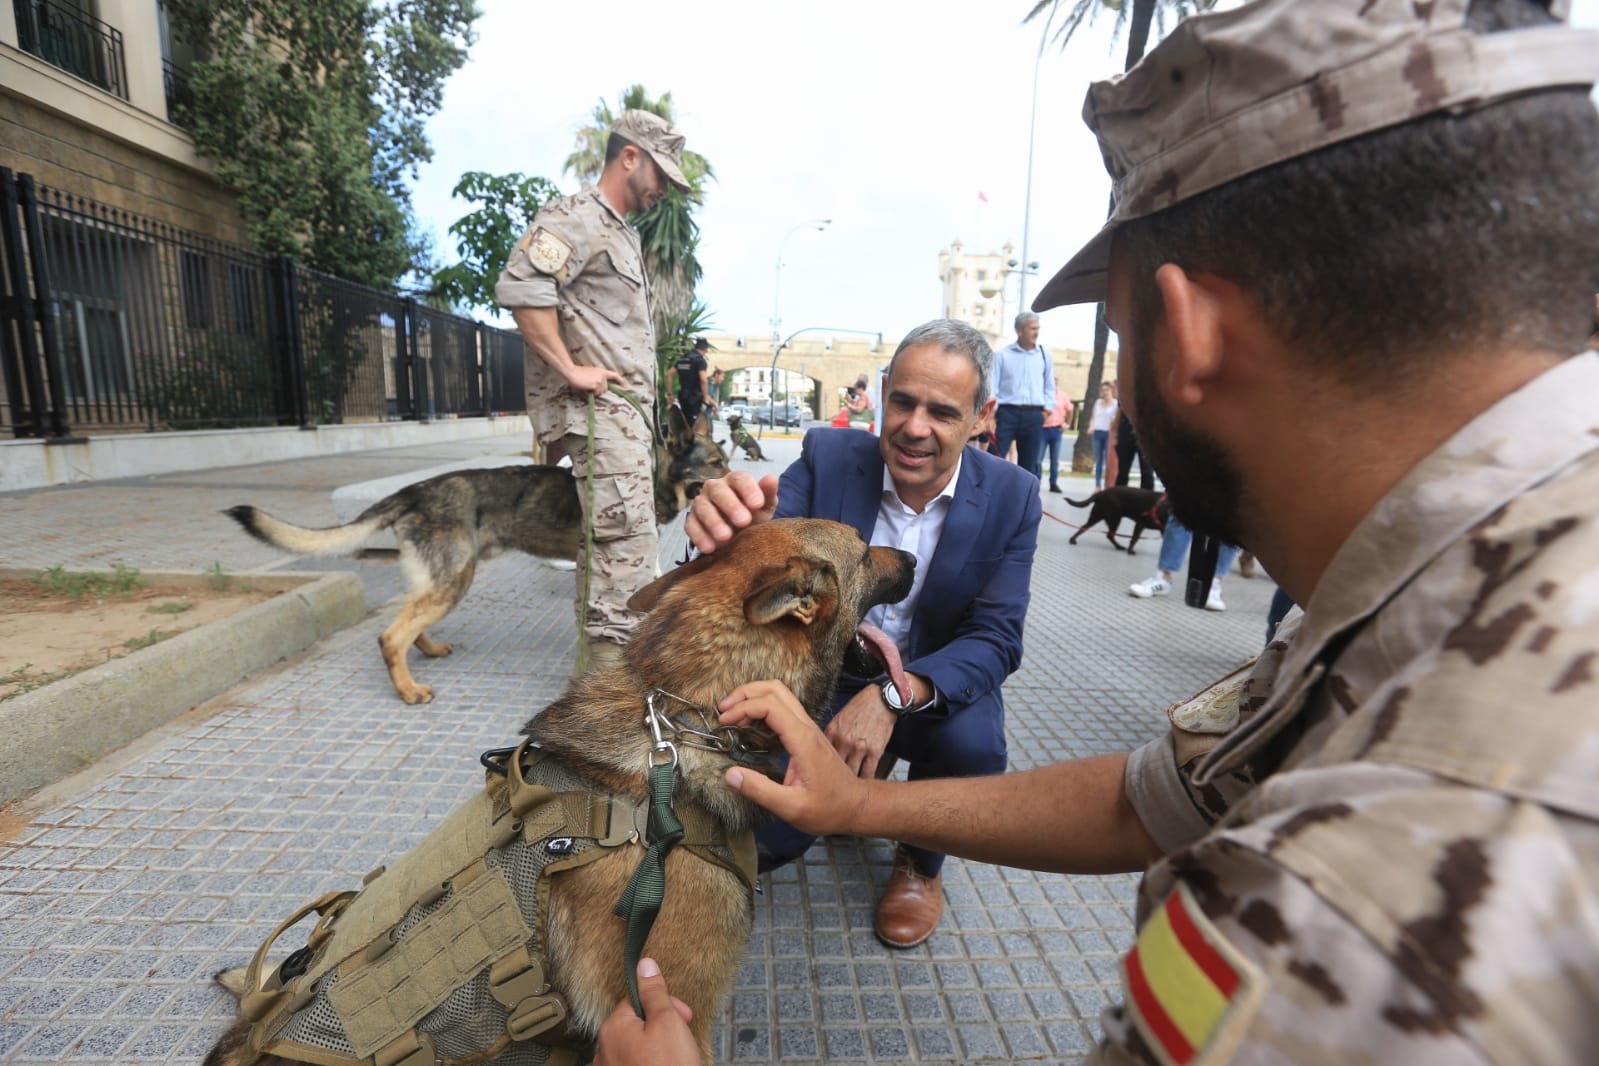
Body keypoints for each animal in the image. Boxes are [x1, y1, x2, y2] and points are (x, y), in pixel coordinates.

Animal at [225, 404, 732, 703]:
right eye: (715, 465)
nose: (744, 480)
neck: (652, 477)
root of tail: (412, 491)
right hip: (454, 578)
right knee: (390, 636)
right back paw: (408, 690)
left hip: (442, 577)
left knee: (409, 625)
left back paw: (427, 650)